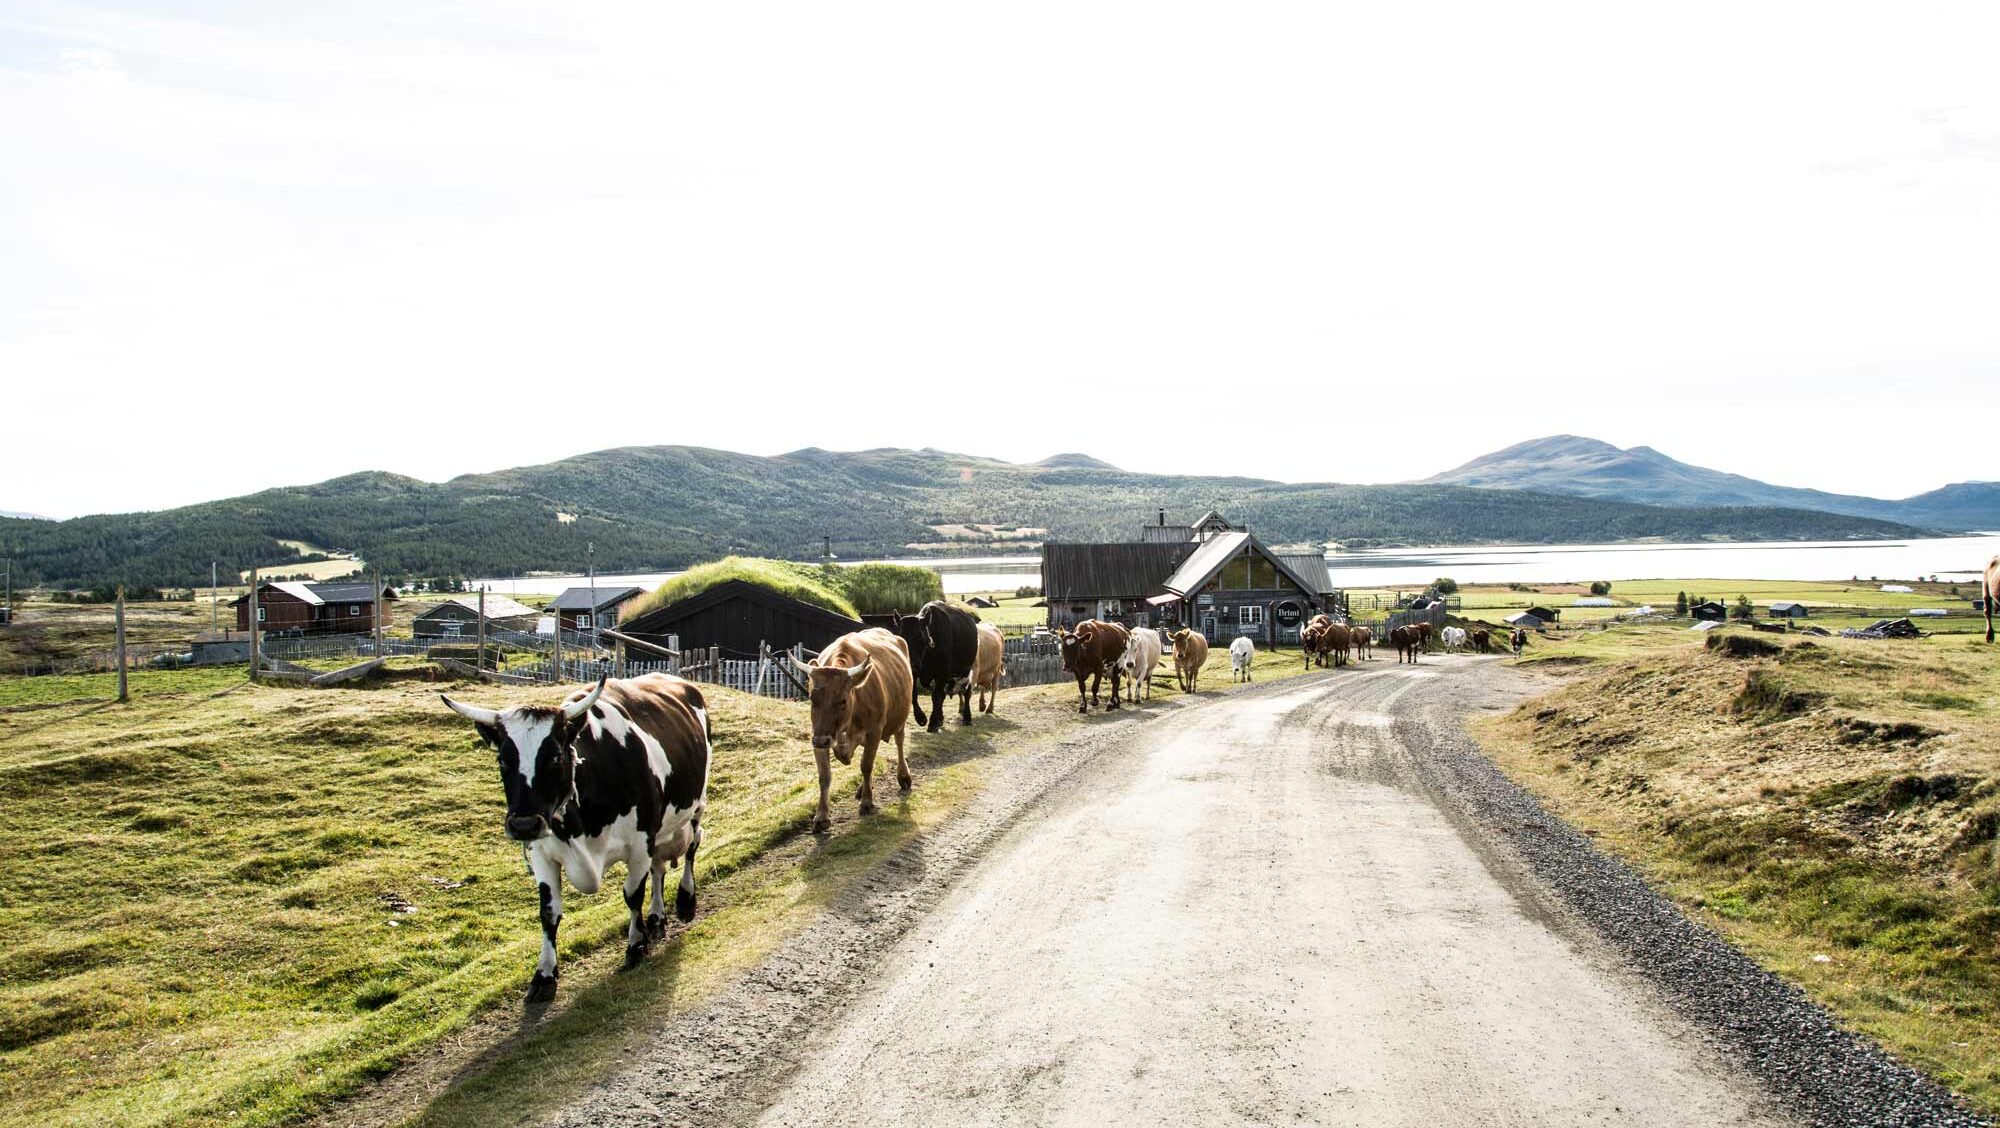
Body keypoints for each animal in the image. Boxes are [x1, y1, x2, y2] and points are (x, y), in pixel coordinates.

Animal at [444, 676, 712, 1000]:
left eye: (555, 757)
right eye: (503, 760)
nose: (523, 825)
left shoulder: (639, 841)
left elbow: (632, 894)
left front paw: (636, 946)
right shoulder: (543, 853)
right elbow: (549, 913)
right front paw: (545, 975)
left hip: (695, 806)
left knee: (691, 848)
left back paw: (685, 901)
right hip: (659, 831)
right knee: (659, 868)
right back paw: (657, 918)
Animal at [804, 620, 916, 832]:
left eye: (842, 700)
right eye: (812, 698)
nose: (822, 740)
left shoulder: (874, 731)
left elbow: (866, 765)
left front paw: (867, 802)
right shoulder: (817, 734)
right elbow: (824, 775)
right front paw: (821, 816)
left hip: (900, 717)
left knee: (899, 741)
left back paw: (903, 776)